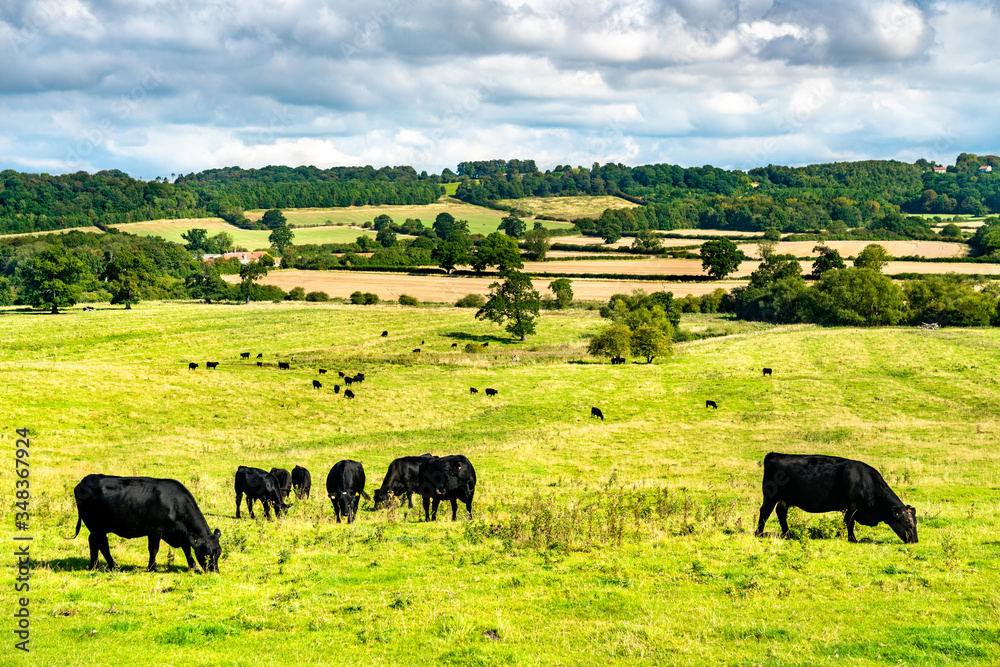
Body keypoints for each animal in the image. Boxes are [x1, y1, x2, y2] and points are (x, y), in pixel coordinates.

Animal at [73, 474, 223, 576]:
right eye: (208, 554)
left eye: (219, 553)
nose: (215, 571)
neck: (175, 503)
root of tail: (86, 480)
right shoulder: (155, 530)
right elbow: (154, 549)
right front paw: (152, 567)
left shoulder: (182, 532)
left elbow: (187, 549)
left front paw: (193, 566)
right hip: (96, 526)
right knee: (102, 544)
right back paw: (113, 566)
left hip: (98, 528)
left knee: (95, 542)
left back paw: (95, 566)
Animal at [756, 452, 916, 544]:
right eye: (908, 524)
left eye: (915, 523)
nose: (915, 540)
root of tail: (774, 454)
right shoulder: (851, 507)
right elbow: (849, 524)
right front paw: (852, 539)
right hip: (770, 496)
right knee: (764, 512)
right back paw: (759, 534)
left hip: (784, 499)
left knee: (781, 513)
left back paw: (787, 534)